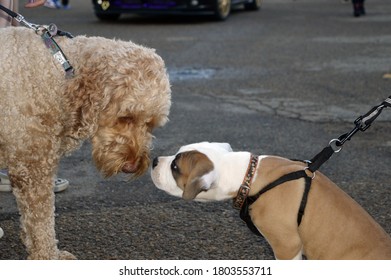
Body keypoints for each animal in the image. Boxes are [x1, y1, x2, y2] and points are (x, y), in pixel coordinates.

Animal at [0, 27, 172, 260]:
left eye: (150, 124)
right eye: (126, 117)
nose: (132, 166)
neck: (59, 74)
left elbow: (31, 222)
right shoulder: (33, 170)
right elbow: (42, 224)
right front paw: (48, 256)